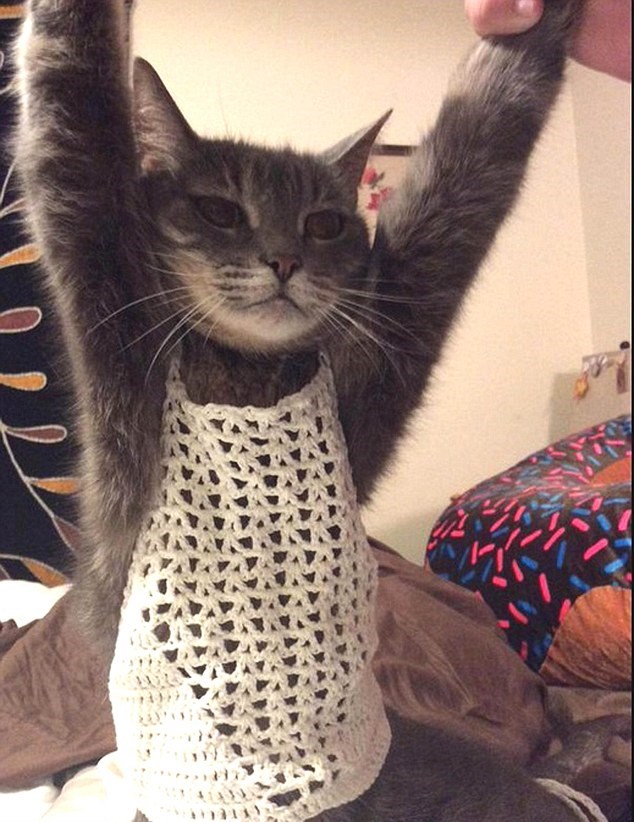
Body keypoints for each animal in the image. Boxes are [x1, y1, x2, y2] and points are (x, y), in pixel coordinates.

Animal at [13, 1, 596, 821]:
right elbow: (71, 91)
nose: (285, 259)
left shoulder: (388, 342)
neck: (249, 372)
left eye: (325, 223)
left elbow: (480, 145)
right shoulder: (108, 298)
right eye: (220, 211)